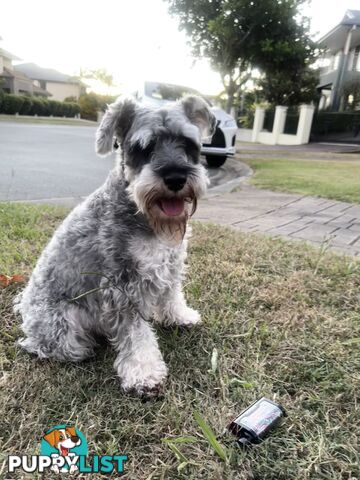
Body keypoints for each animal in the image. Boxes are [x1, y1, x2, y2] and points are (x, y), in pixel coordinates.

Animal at [14, 95, 215, 396]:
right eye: (144, 147)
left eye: (188, 143)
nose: (176, 178)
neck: (145, 217)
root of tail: (24, 307)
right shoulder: (122, 287)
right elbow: (136, 334)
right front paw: (144, 373)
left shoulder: (170, 264)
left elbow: (171, 295)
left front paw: (180, 316)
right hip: (63, 328)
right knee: (50, 346)